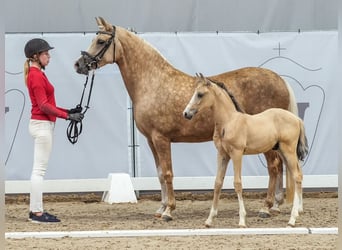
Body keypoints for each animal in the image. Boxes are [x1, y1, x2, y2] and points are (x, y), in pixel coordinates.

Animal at [75, 16, 300, 222]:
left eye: (101, 41)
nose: (79, 65)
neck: (152, 82)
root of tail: (280, 80)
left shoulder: (161, 139)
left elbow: (167, 173)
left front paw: (169, 210)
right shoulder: (151, 140)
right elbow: (159, 173)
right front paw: (161, 208)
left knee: (274, 167)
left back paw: (266, 207)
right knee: (281, 167)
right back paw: (277, 206)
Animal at [183, 73, 308, 228]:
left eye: (200, 94)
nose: (186, 113)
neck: (229, 122)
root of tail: (297, 119)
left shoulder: (237, 154)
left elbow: (237, 183)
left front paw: (242, 220)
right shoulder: (222, 155)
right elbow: (217, 183)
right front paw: (209, 220)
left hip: (288, 150)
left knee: (296, 176)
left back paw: (292, 219)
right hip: (283, 152)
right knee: (298, 174)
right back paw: (298, 211)